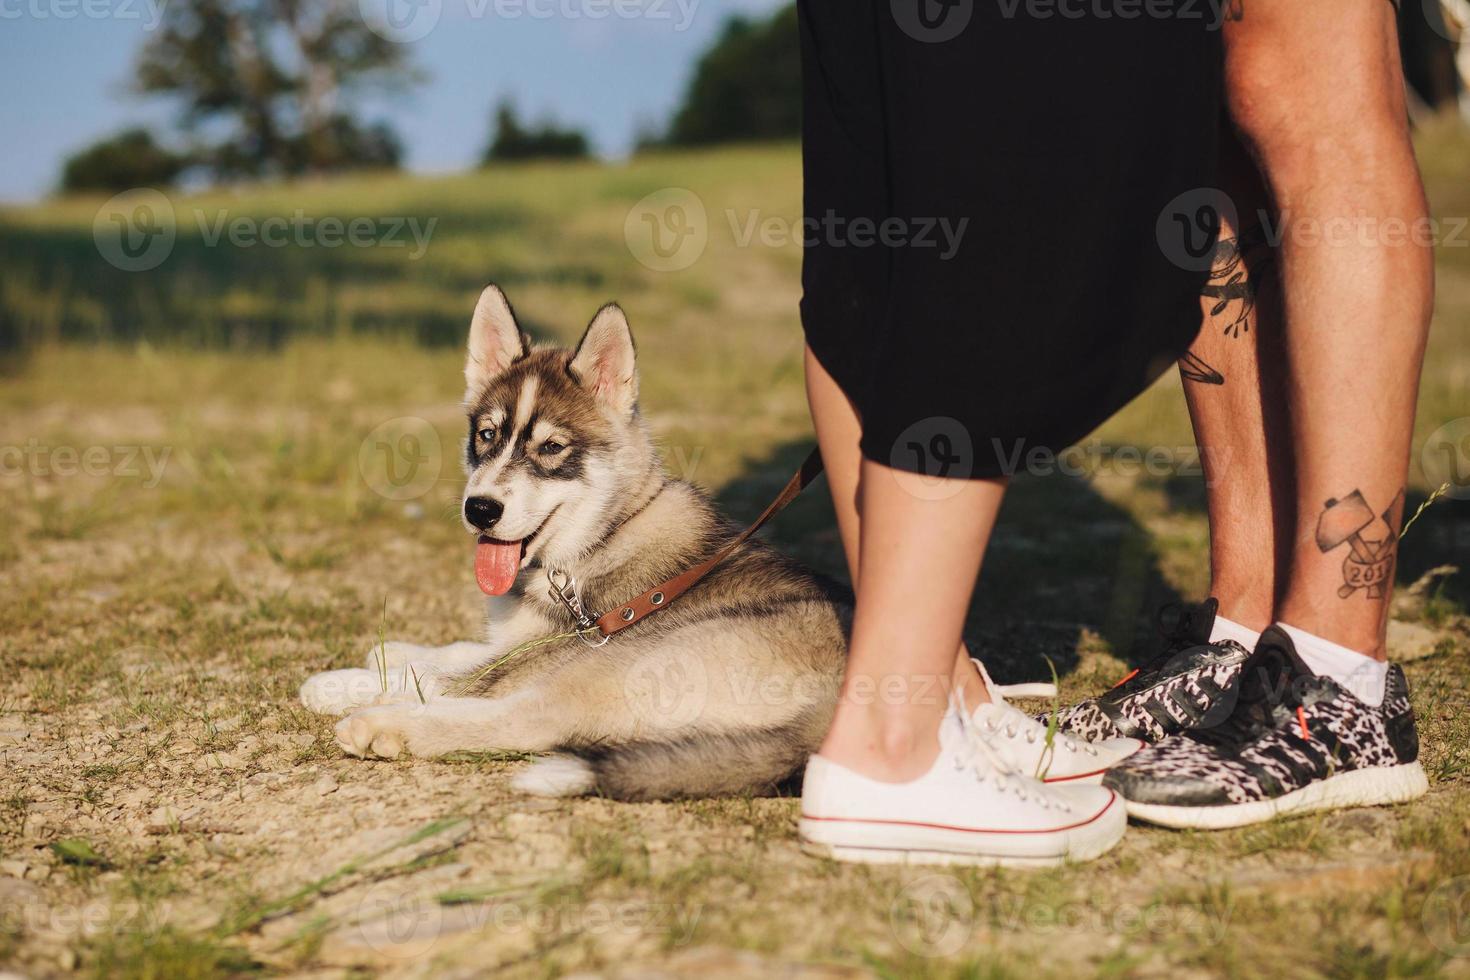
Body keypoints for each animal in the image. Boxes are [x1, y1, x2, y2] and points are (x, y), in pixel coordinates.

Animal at [298, 287, 852, 799]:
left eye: (551, 447)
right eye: (486, 435)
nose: (480, 510)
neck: (604, 534)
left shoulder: (551, 653)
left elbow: (447, 677)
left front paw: (341, 681)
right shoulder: (531, 640)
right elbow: (462, 650)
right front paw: (394, 651)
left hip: (621, 661)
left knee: (521, 719)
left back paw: (381, 723)